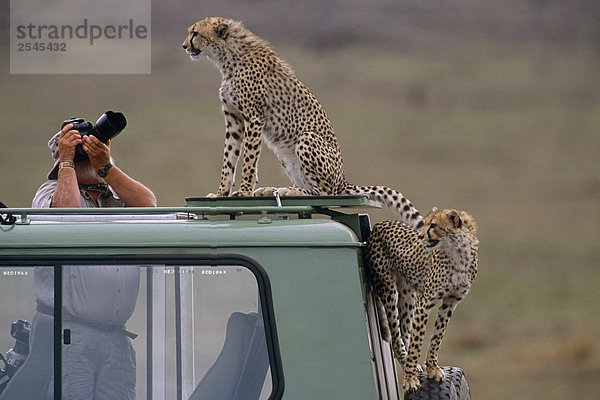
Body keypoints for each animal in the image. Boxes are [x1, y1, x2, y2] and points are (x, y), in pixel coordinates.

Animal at [183, 18, 422, 228]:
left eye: (195, 33)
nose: (184, 46)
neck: (226, 57)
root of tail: (343, 180)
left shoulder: (254, 117)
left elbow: (249, 161)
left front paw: (243, 192)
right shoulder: (234, 120)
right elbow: (229, 158)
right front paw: (221, 192)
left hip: (307, 138)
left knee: (324, 193)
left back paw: (290, 191)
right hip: (285, 155)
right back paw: (275, 190)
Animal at [366, 208, 478, 392]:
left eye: (433, 225)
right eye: (424, 224)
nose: (420, 236)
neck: (458, 252)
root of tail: (379, 224)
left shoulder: (450, 302)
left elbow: (437, 336)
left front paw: (432, 367)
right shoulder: (424, 303)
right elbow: (417, 342)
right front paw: (410, 378)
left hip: (408, 297)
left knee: (404, 333)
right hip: (390, 290)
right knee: (396, 337)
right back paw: (406, 362)